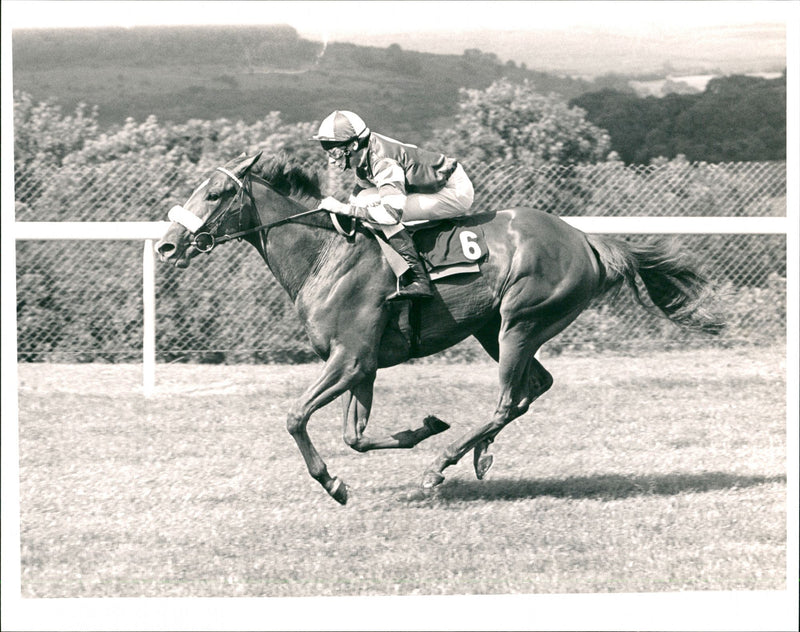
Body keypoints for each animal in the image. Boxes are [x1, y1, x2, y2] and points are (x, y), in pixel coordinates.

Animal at [153, 152, 720, 504]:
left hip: (520, 322)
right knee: (533, 388)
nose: (166, 244)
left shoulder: (350, 358)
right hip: (494, 329)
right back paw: (479, 455)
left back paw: (441, 466)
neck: (326, 254)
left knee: (509, 399)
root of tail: (586, 239)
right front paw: (423, 427)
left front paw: (334, 484)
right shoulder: (362, 365)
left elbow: (295, 418)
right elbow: (356, 436)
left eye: (216, 193)